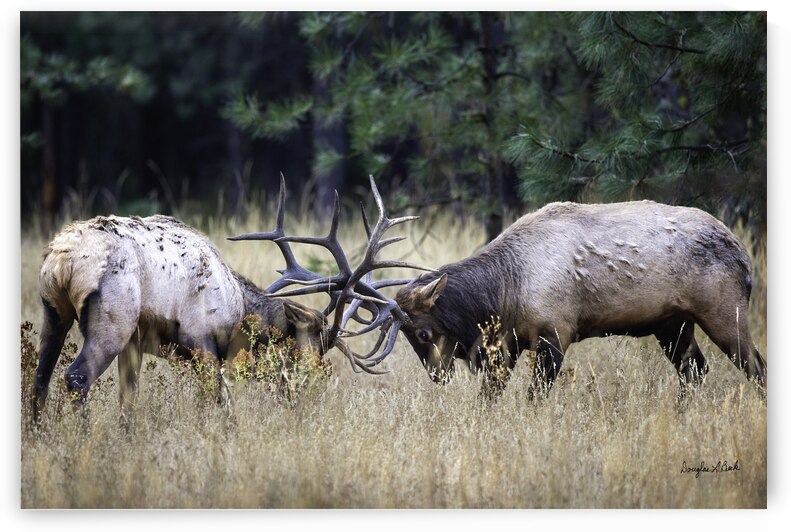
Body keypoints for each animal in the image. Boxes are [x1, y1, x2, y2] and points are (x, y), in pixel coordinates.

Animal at [31, 175, 430, 423]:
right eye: (308, 351)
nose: (299, 398)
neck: (237, 310)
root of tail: (63, 257)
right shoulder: (202, 342)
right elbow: (220, 405)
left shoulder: (137, 345)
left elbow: (128, 402)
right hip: (112, 319)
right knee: (76, 377)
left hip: (54, 313)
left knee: (40, 380)